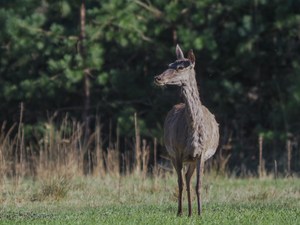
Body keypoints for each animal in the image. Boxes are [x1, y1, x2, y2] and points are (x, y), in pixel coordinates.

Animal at [154, 44, 219, 216]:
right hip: (173, 154)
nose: (158, 78)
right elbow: (180, 183)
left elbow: (199, 185)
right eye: (169, 64)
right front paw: (180, 212)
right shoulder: (177, 151)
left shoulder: (201, 153)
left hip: (192, 159)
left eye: (181, 67)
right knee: (184, 179)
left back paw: (192, 212)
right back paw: (187, 212)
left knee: (189, 178)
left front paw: (200, 213)